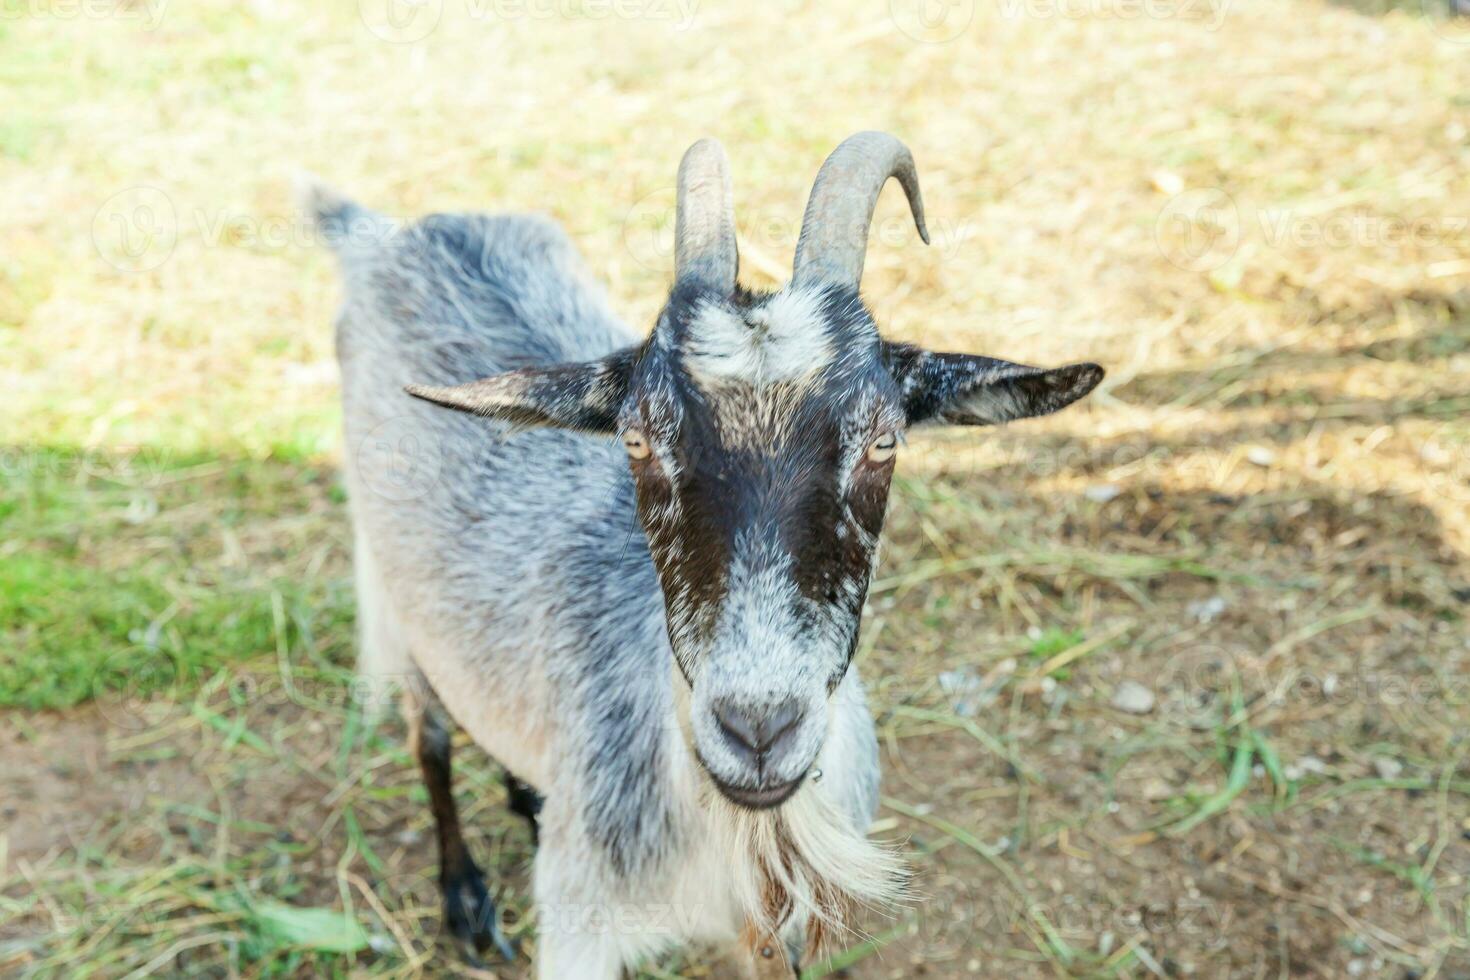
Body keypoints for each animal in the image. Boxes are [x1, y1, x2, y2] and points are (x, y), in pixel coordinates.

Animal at [301, 132, 1105, 980]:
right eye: (636, 440)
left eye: (884, 441)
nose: (759, 731)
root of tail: (387, 234)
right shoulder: (580, 930)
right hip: (393, 585)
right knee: (428, 735)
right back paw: (465, 899)